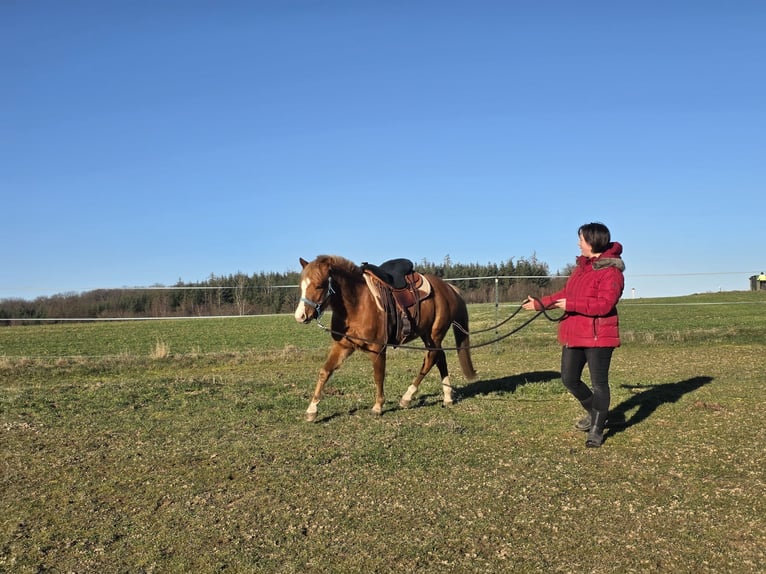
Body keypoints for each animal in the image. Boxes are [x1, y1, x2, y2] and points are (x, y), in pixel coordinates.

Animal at [293, 255, 477, 422]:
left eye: (319, 285)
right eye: (301, 286)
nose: (300, 316)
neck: (358, 304)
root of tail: (448, 287)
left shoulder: (378, 349)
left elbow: (378, 376)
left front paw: (378, 406)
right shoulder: (343, 346)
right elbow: (325, 372)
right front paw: (312, 410)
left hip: (435, 334)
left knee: (431, 359)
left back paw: (407, 397)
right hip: (428, 335)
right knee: (440, 358)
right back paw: (447, 397)